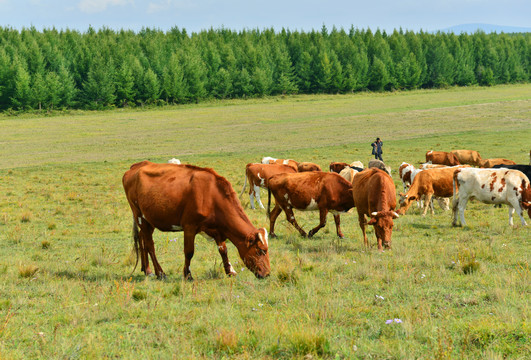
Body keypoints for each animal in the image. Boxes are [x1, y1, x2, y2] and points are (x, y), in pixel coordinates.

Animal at [121, 161, 270, 282]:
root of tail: (137, 165)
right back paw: (160, 273)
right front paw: (188, 275)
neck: (211, 196)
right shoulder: (189, 227)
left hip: (148, 220)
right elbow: (189, 252)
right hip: (140, 216)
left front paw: (230, 271)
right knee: (150, 245)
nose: (267, 274)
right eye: (261, 250)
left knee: (142, 239)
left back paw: (147, 270)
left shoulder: (217, 229)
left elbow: (223, 250)